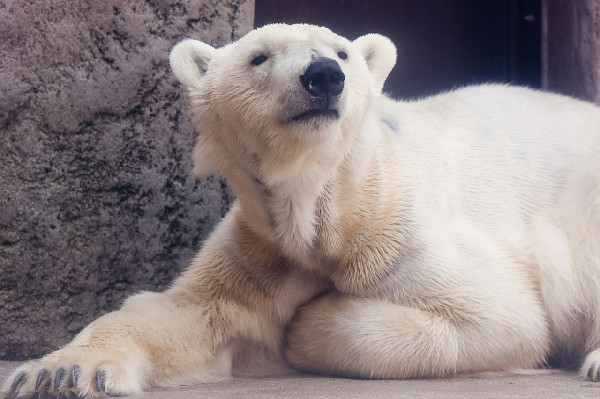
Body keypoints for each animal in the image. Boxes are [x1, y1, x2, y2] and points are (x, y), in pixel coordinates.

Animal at [3, 22, 600, 399]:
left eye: (342, 52)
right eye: (258, 56)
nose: (323, 75)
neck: (328, 204)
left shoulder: (398, 228)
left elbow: (501, 317)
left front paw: (305, 322)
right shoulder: (260, 246)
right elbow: (185, 313)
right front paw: (57, 374)